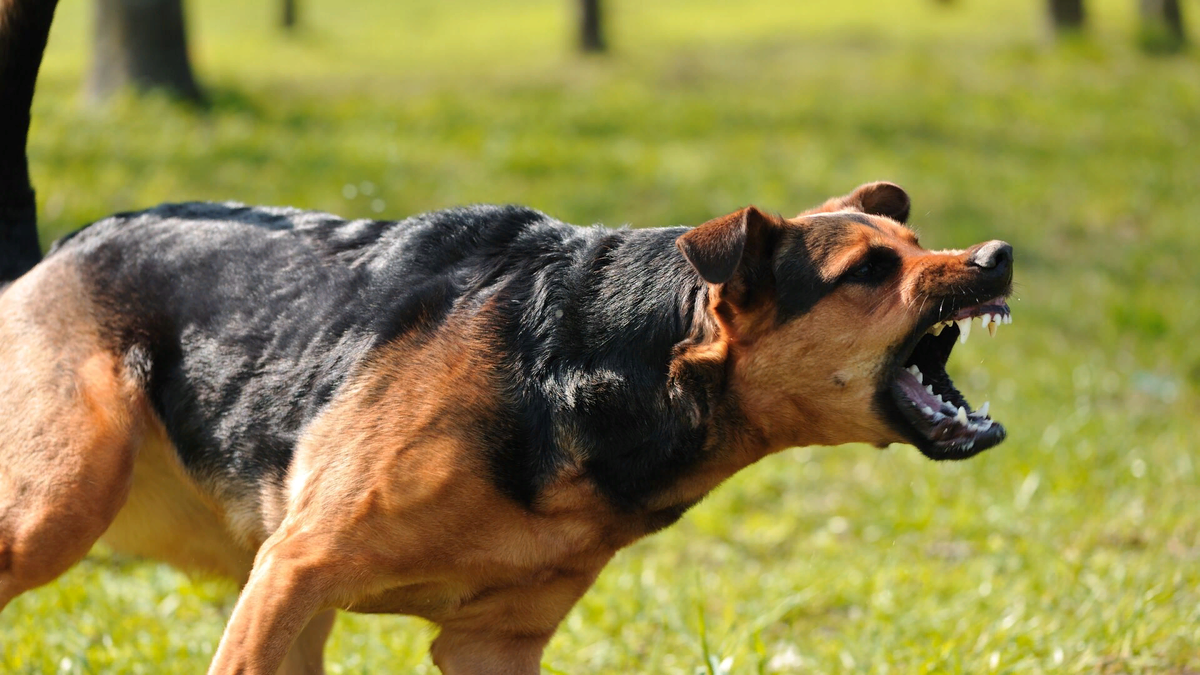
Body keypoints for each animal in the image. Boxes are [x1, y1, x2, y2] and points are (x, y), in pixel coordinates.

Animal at [0, 176, 1012, 667]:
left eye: (918, 244)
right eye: (869, 271)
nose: (997, 255)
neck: (598, 363)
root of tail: (57, 249)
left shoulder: (491, 644)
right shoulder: (296, 568)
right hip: (62, 508)